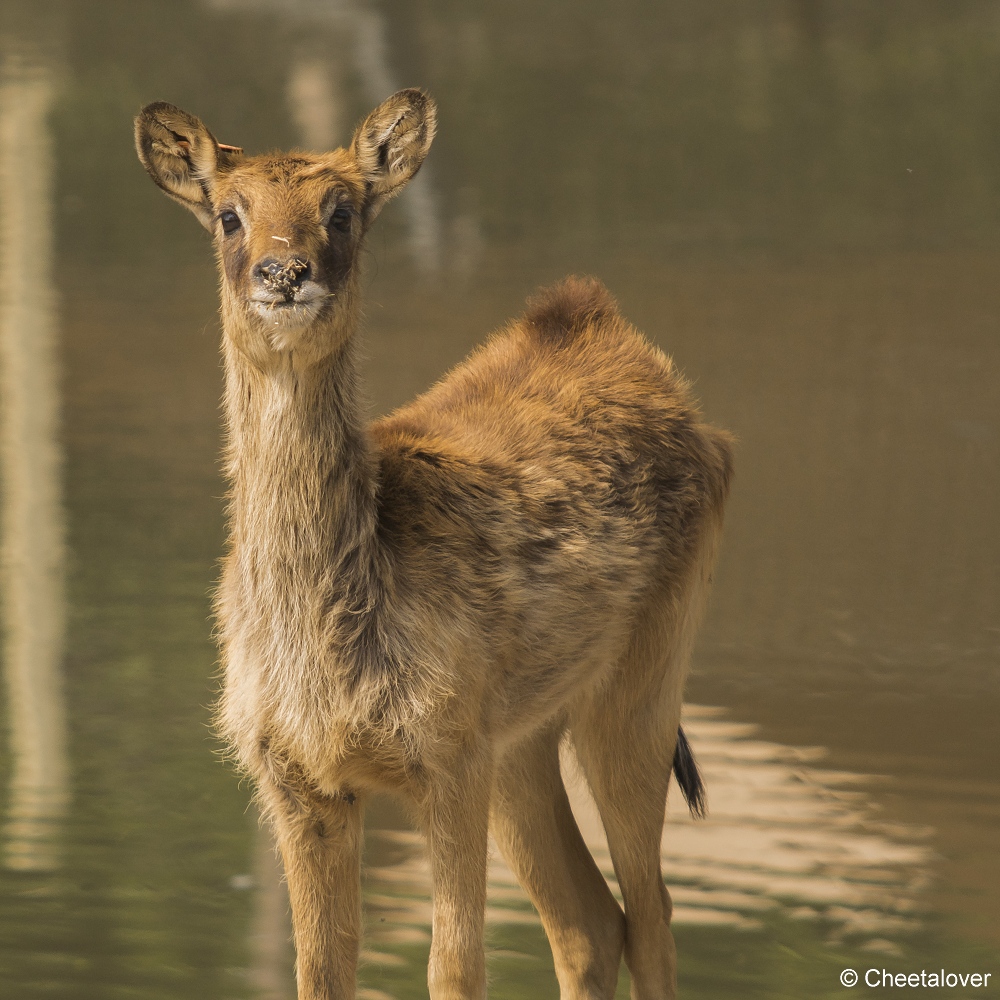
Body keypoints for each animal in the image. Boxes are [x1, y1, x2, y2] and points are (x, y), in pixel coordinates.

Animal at [135, 90, 736, 996]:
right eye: (229, 216)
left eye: (342, 211)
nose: (285, 273)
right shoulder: (294, 775)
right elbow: (320, 972)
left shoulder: (446, 753)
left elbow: (454, 968)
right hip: (522, 737)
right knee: (590, 922)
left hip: (642, 680)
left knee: (652, 914)